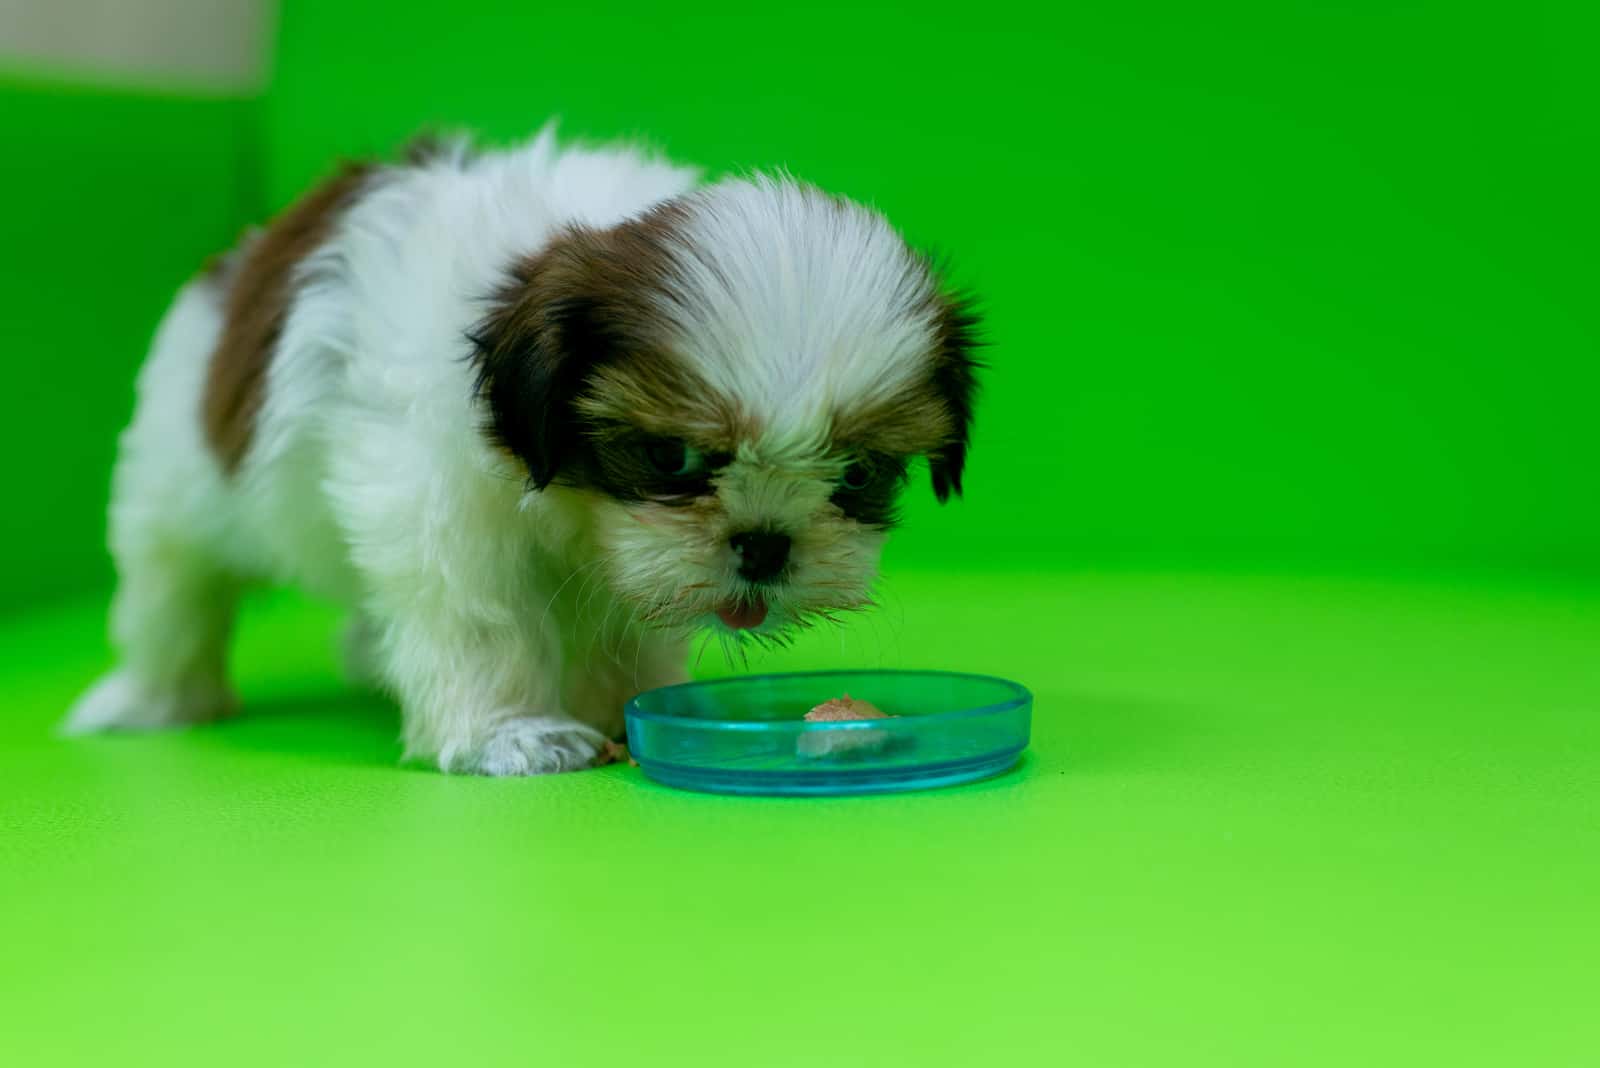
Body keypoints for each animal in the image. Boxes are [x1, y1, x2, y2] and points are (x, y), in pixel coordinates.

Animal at [62, 127, 979, 777]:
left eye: (860, 474)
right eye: (669, 459)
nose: (763, 545)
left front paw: (621, 708)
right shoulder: (435, 490)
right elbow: (473, 606)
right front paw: (512, 734)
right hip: (176, 469)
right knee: (174, 586)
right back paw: (154, 698)